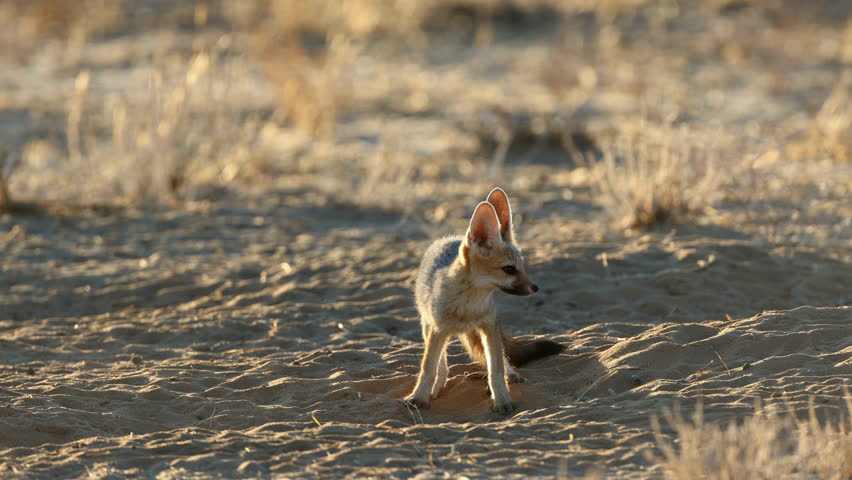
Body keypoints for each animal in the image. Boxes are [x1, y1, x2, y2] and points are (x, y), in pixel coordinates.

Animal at [404, 188, 563, 414]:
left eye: (522, 267)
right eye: (509, 269)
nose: (535, 288)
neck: (468, 308)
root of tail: (450, 238)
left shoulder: (489, 326)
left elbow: (496, 368)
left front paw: (502, 399)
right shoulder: (437, 330)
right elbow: (429, 368)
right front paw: (419, 396)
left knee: (500, 359)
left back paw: (508, 375)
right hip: (428, 327)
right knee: (442, 364)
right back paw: (437, 386)